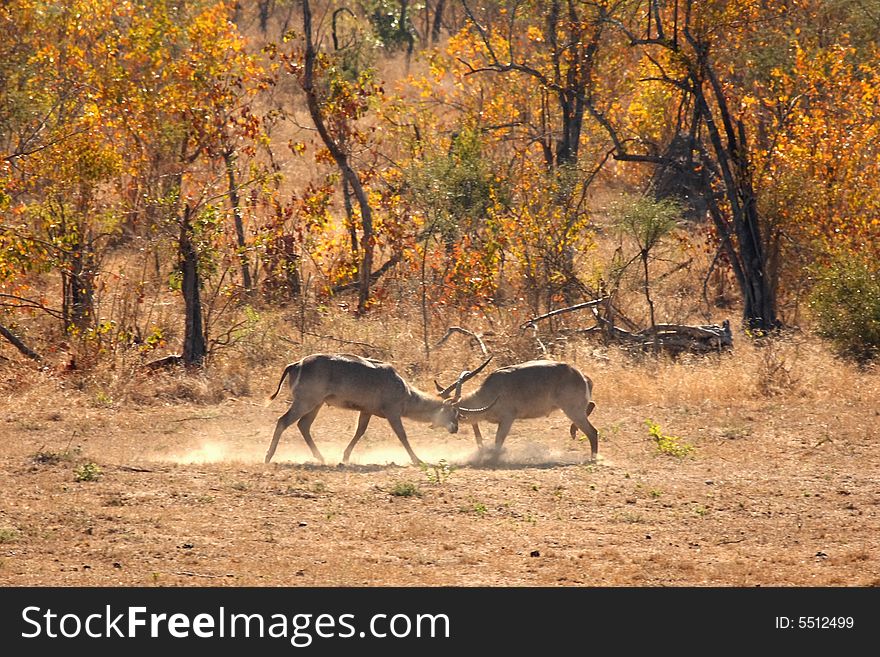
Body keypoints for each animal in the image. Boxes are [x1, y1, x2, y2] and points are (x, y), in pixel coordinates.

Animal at [264, 352, 492, 464]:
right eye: (454, 411)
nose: (455, 428)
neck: (405, 391)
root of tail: (296, 364)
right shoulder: (392, 413)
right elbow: (402, 435)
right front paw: (417, 459)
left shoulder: (366, 411)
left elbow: (360, 432)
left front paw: (345, 457)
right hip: (307, 402)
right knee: (283, 421)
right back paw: (268, 457)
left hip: (316, 404)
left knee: (303, 425)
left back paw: (321, 457)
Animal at [438, 358, 600, 462]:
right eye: (442, 409)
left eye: (450, 412)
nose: (452, 429)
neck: (491, 391)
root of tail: (581, 375)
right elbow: (478, 435)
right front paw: (482, 452)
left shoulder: (507, 419)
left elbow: (498, 440)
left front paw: (493, 458)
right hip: (574, 409)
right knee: (591, 405)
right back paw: (574, 431)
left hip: (572, 410)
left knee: (593, 432)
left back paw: (592, 458)